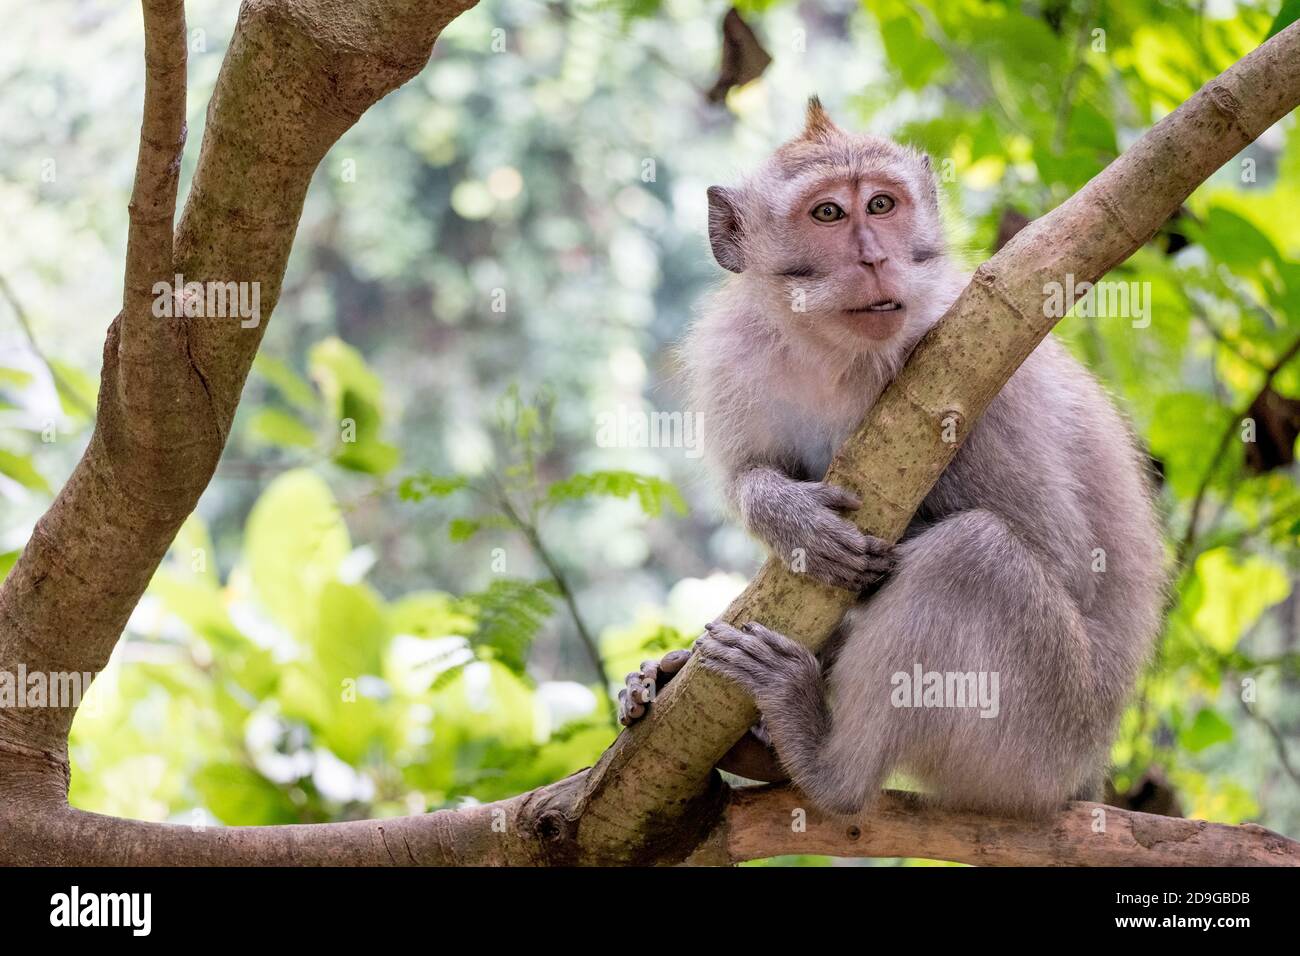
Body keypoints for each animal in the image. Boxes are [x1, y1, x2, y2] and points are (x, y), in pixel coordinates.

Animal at [616, 97, 1166, 819]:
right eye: (828, 213)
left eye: (881, 205)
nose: (876, 258)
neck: (835, 353)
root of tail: (1087, 774)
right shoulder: (733, 355)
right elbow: (749, 472)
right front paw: (787, 514)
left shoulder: (982, 369)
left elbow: (1065, 553)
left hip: (1043, 738)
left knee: (973, 555)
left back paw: (826, 765)